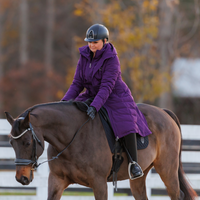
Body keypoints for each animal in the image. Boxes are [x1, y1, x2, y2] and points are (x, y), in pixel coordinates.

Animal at [5, 101, 198, 200]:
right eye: (11, 143)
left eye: (27, 143)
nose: (21, 178)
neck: (72, 137)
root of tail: (164, 113)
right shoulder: (57, 180)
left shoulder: (98, 183)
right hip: (139, 177)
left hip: (167, 170)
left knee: (177, 194)